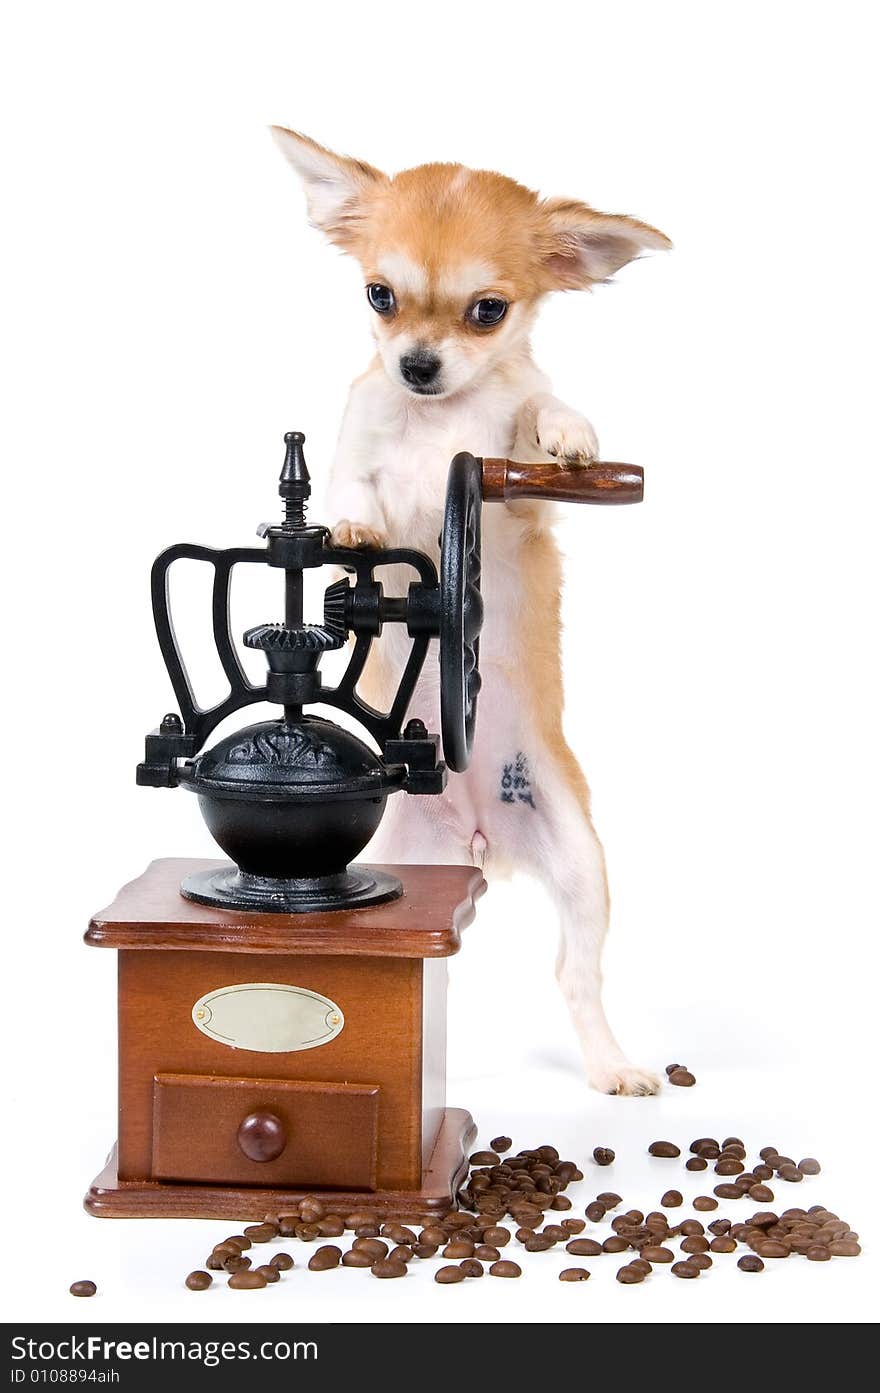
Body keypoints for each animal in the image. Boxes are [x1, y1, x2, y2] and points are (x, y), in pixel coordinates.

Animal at [271, 125, 671, 1092]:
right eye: (379, 295)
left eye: (487, 311)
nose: (416, 364)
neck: (434, 421)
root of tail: (480, 835)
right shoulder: (360, 443)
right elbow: (353, 485)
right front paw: (353, 521)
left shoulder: (509, 498)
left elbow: (535, 410)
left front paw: (569, 428)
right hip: (403, 858)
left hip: (582, 862)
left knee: (575, 974)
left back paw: (613, 1066)